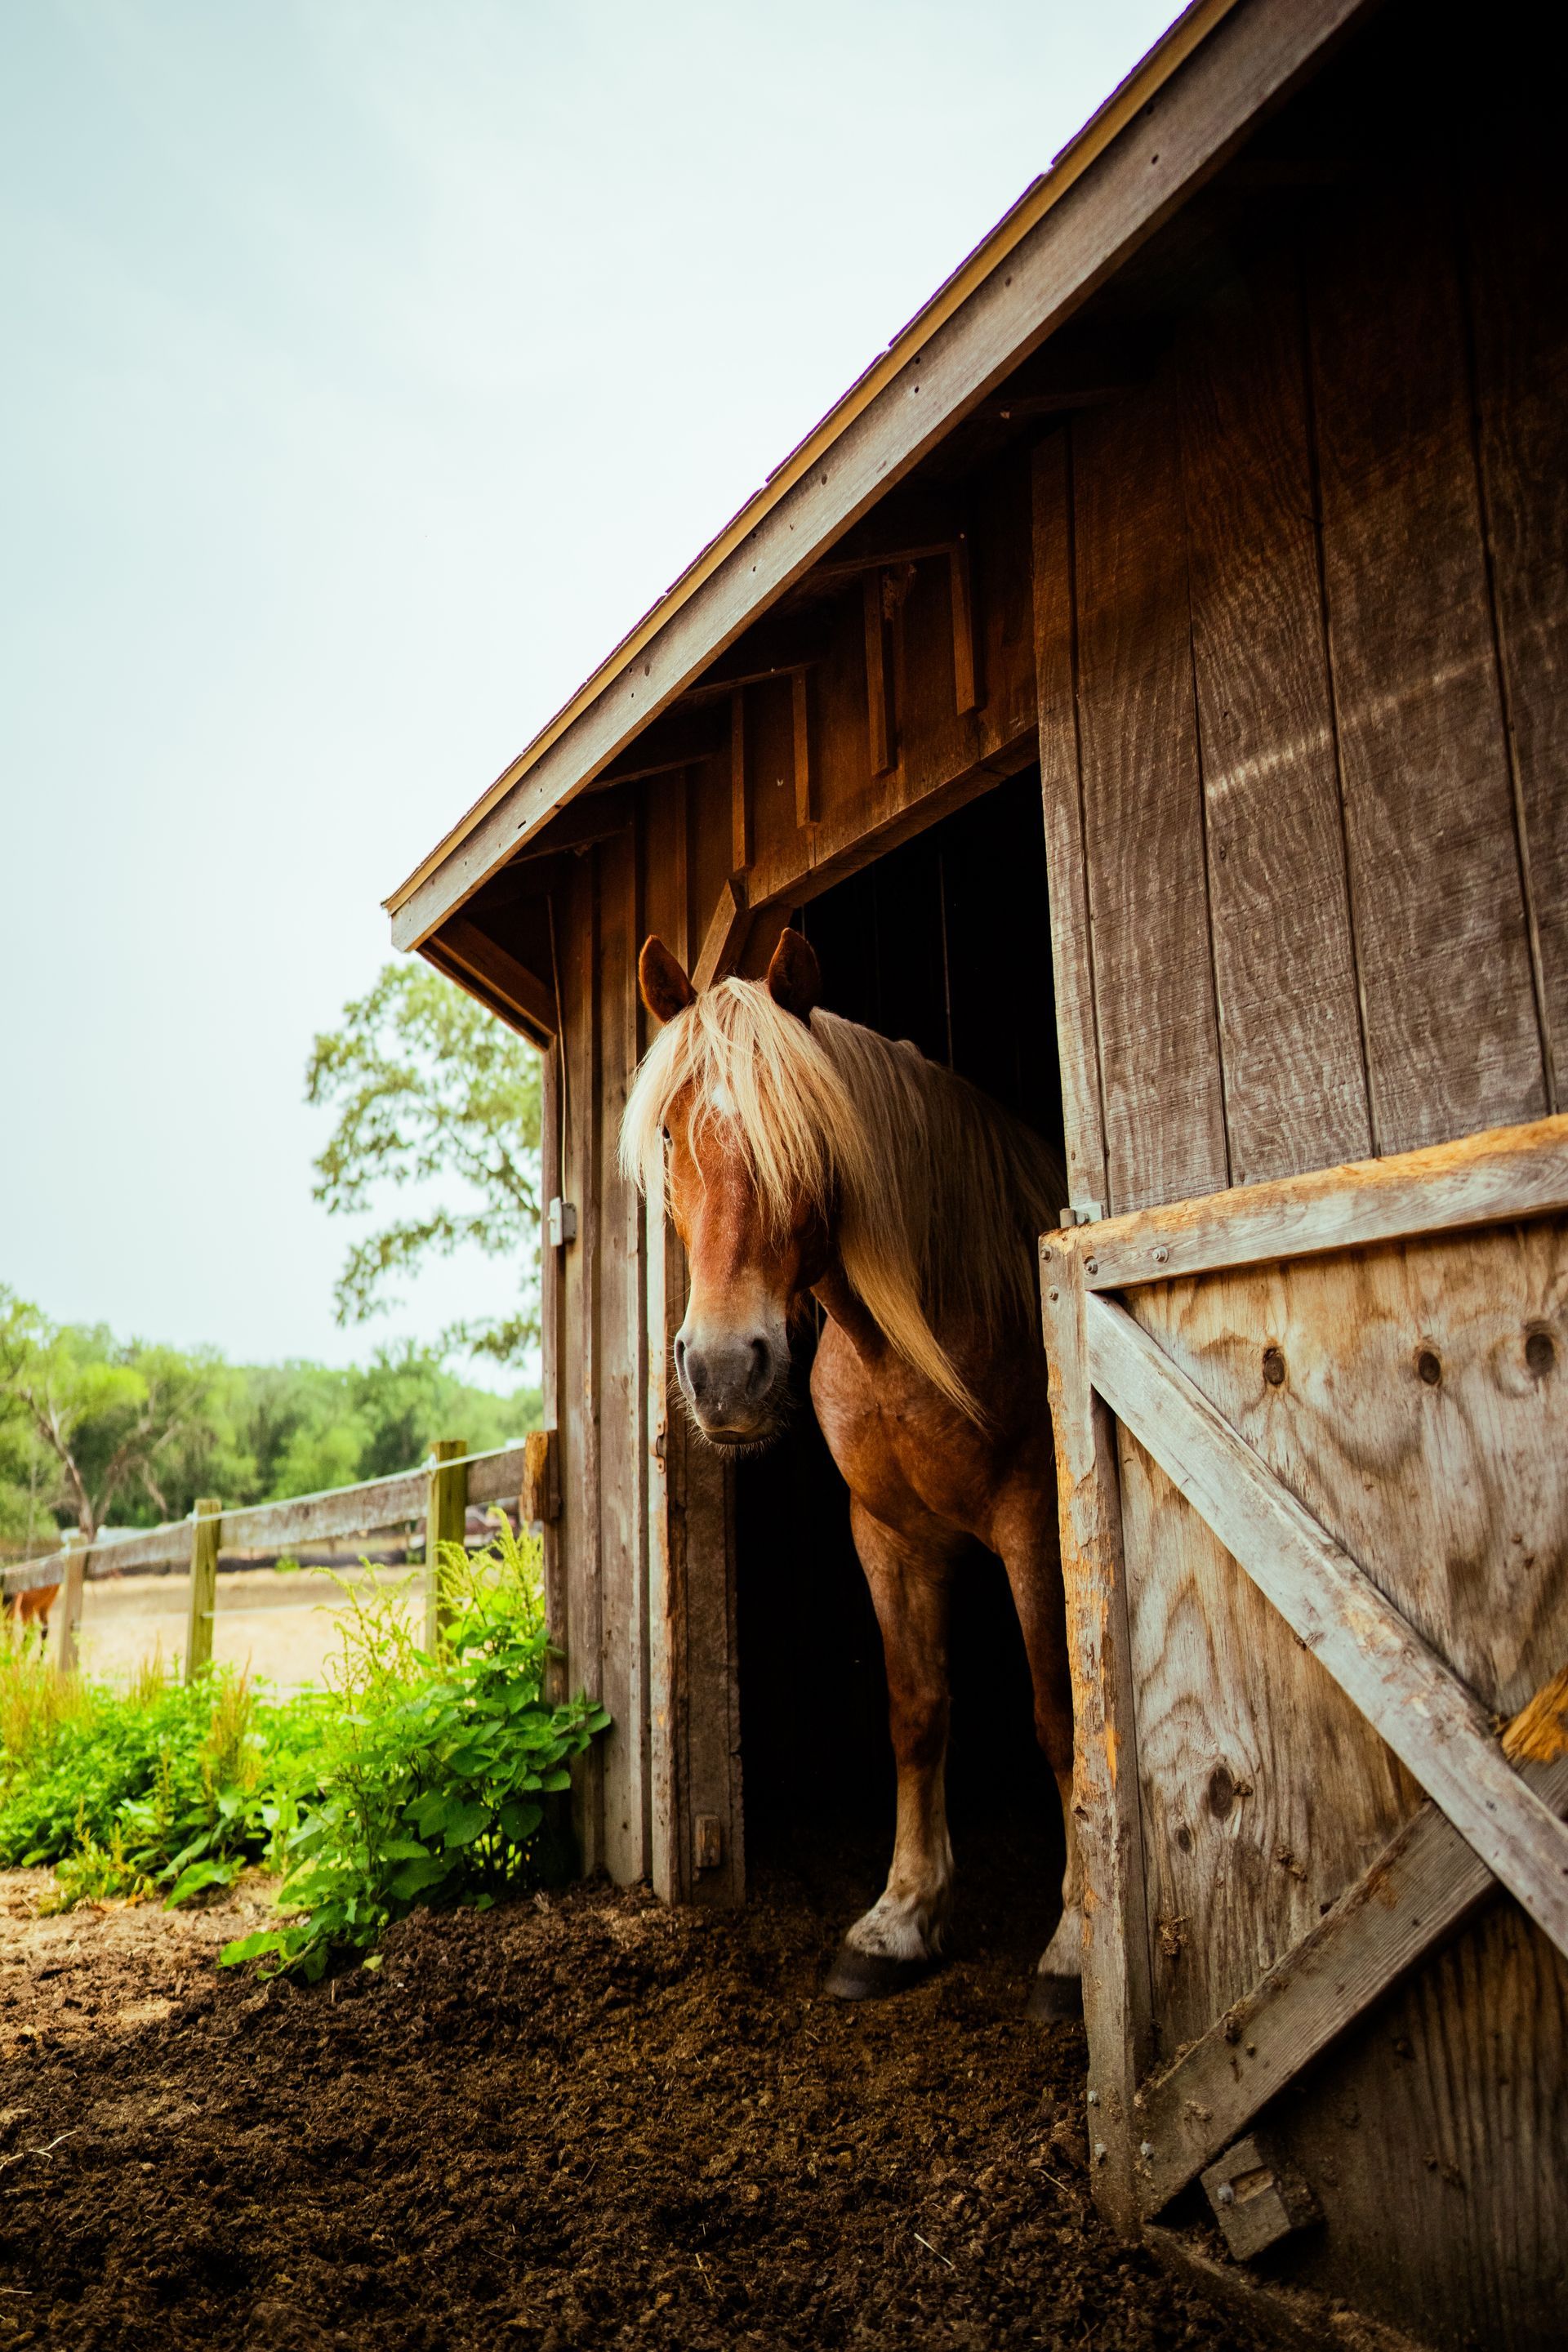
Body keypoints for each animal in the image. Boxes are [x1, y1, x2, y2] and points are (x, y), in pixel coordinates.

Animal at [622, 924, 1083, 2015]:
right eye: (669, 1137)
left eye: (803, 1143)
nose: (722, 1370)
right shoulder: (887, 1533)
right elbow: (915, 1711)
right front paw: (899, 1920)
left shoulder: (1036, 1523)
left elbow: (1061, 1717)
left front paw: (1077, 1943)